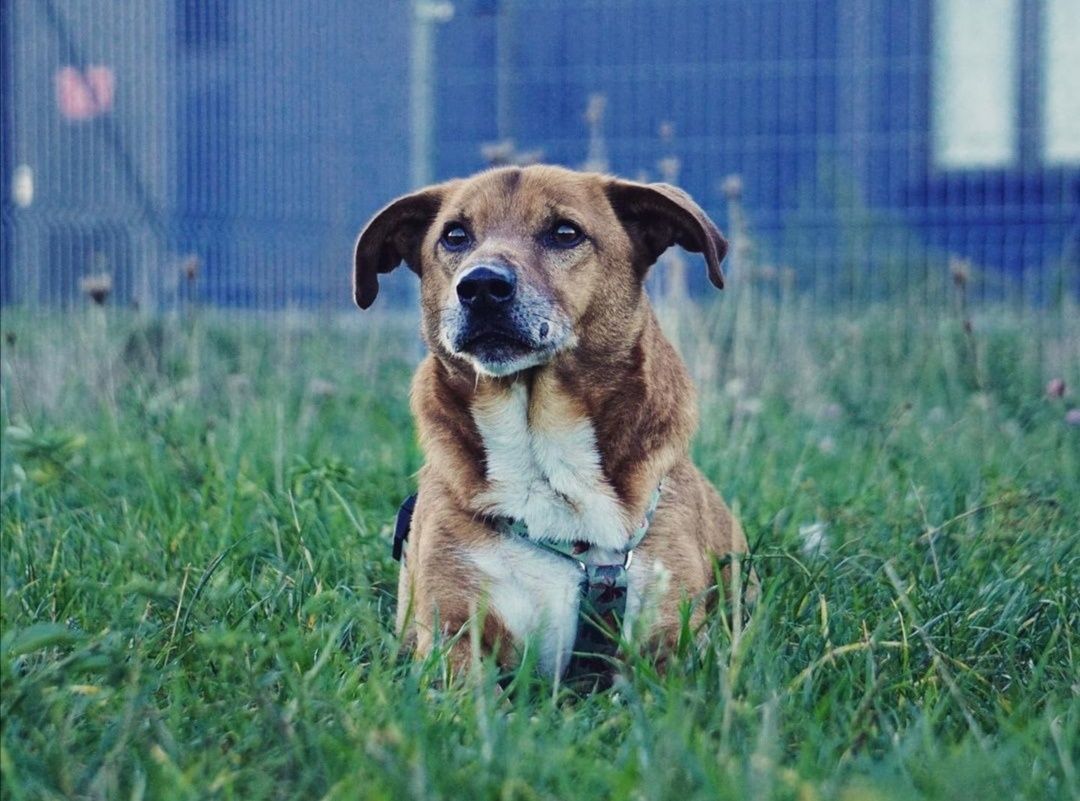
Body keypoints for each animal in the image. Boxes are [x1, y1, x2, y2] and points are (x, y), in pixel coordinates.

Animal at [352, 165, 751, 682]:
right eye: (455, 235)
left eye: (565, 233)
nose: (481, 286)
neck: (541, 450)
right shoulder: (453, 633)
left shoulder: (668, 643)